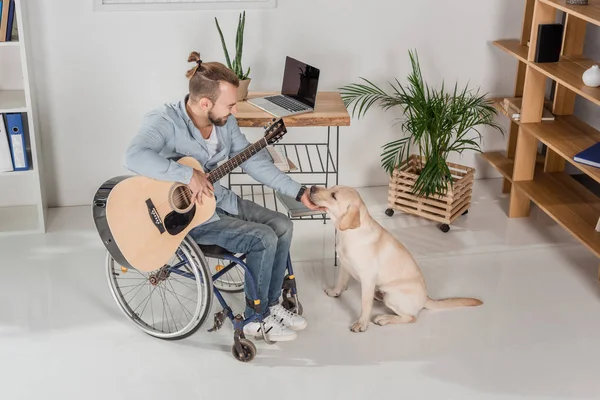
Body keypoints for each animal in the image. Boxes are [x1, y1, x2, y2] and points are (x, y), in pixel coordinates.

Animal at [310, 184, 482, 332]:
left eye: (334, 196)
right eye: (331, 188)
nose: (311, 187)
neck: (348, 233)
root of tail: (426, 298)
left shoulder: (367, 279)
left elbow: (365, 305)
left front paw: (362, 324)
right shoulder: (344, 265)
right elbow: (340, 282)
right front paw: (335, 292)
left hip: (392, 297)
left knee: (411, 317)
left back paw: (384, 318)